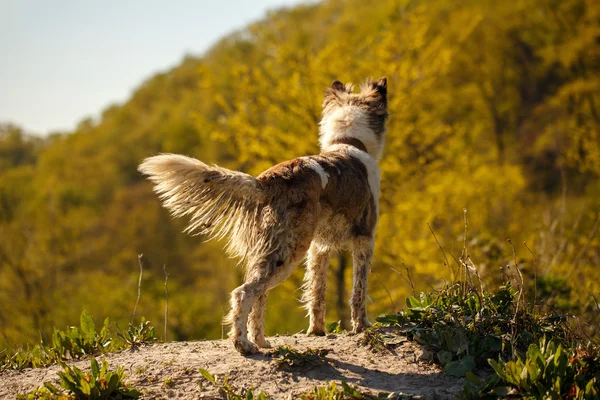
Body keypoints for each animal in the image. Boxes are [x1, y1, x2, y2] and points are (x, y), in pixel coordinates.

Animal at [138, 76, 390, 354]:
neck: (348, 141)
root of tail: (266, 181)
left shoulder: (319, 249)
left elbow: (317, 293)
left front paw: (317, 331)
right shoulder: (364, 238)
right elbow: (359, 291)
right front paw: (362, 326)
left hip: (272, 251)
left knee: (258, 297)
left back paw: (260, 341)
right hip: (287, 253)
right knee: (243, 293)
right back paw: (244, 345)